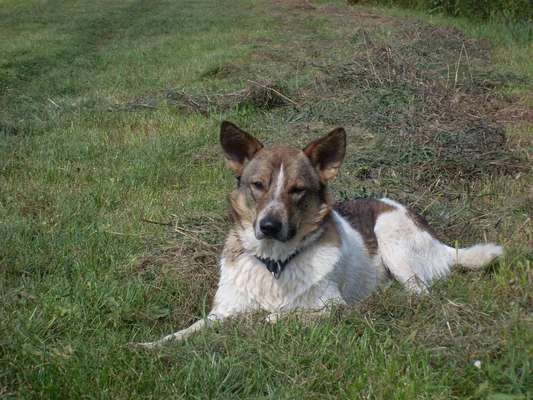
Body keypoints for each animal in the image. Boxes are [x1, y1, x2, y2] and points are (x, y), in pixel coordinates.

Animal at [138, 121, 502, 346]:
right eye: (258, 185)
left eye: (298, 190)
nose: (268, 226)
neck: (275, 263)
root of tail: (441, 243)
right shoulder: (223, 310)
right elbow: (190, 330)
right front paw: (150, 345)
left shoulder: (330, 308)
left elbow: (276, 318)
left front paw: (256, 323)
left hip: (391, 236)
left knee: (420, 292)